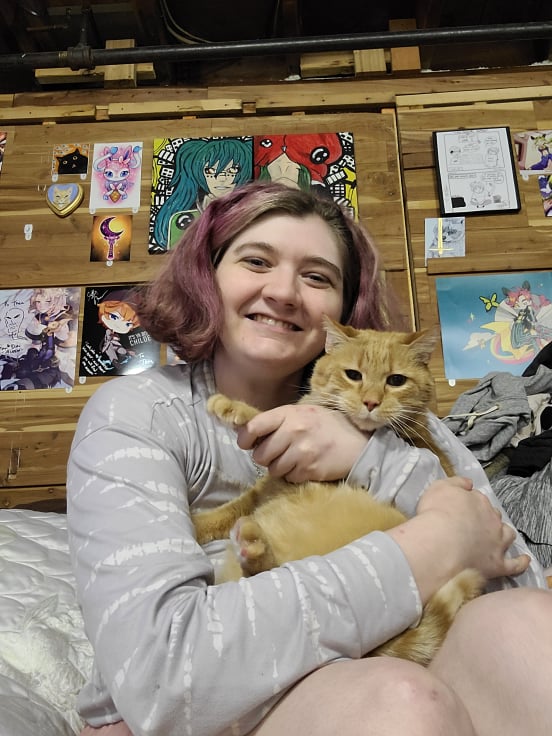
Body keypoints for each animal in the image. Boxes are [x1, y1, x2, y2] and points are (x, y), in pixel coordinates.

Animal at [193, 320, 484, 664]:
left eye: (396, 380)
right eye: (353, 375)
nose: (371, 402)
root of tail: (380, 647)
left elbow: (268, 417)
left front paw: (231, 406)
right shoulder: (268, 486)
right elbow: (225, 511)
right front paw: (195, 523)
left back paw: (253, 545)